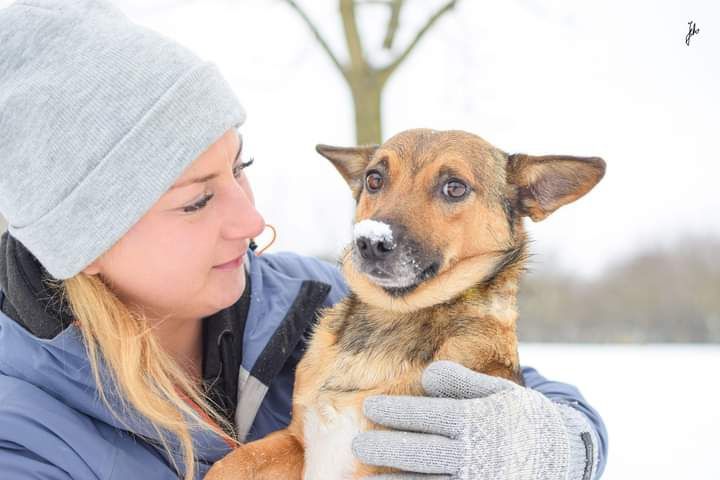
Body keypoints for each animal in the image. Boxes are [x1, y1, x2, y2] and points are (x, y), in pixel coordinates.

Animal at [205, 128, 604, 480]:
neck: (390, 319)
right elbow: (233, 463)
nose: (370, 241)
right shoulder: (296, 439)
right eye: (374, 179)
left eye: (454, 187)